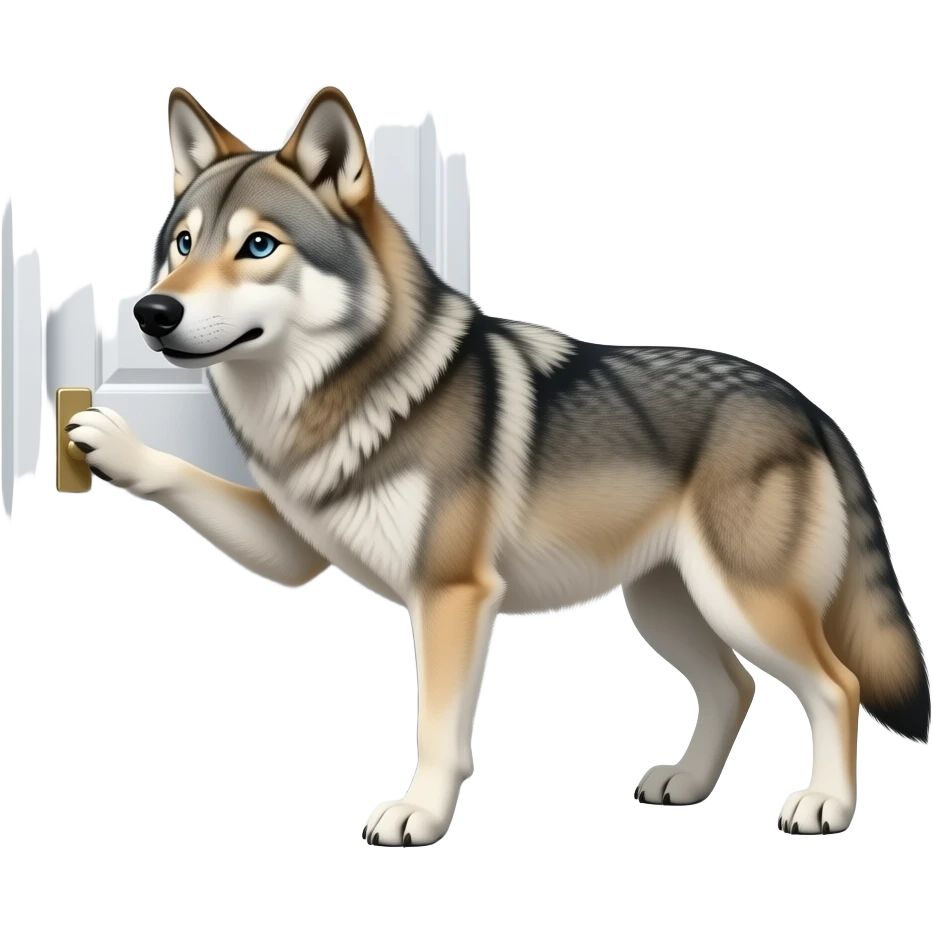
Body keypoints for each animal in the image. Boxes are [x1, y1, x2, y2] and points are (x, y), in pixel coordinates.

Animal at [65, 86, 930, 845]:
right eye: (183, 243)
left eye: (257, 245)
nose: (152, 311)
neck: (342, 394)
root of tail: (808, 406)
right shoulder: (301, 550)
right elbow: (191, 477)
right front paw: (105, 438)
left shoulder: (451, 595)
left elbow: (439, 729)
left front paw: (418, 817)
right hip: (666, 605)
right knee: (735, 684)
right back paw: (685, 784)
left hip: (742, 601)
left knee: (836, 685)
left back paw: (824, 806)